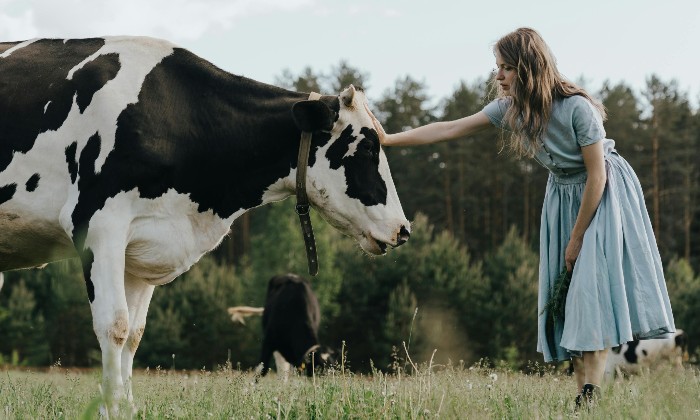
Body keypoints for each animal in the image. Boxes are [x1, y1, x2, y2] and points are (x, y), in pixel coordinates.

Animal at [0, 37, 410, 414]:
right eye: (367, 147)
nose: (403, 230)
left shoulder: (146, 246)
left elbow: (134, 334)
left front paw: (127, 408)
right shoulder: (98, 225)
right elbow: (113, 326)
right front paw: (111, 408)